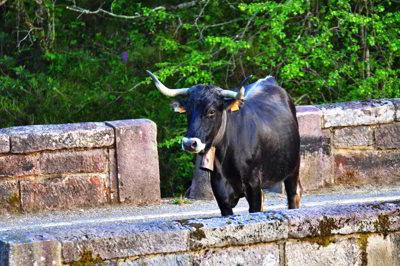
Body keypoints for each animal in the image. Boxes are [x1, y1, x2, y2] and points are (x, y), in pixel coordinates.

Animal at [148, 71, 302, 216]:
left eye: (211, 111)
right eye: (188, 111)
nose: (189, 143)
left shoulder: (253, 186)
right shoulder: (221, 195)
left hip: (293, 169)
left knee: (294, 196)